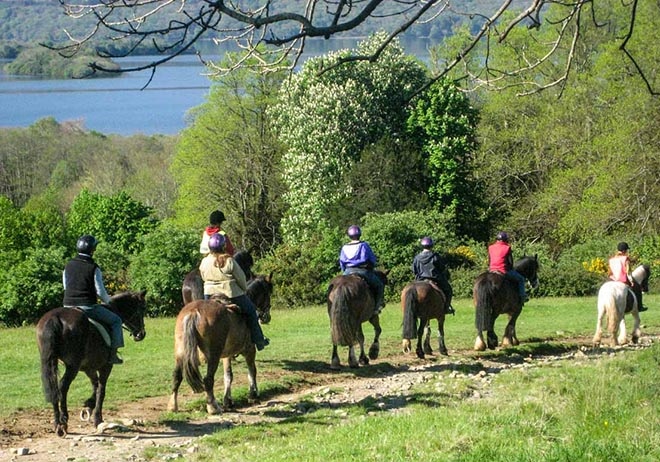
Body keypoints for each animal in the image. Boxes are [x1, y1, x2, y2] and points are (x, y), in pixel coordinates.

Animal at [36, 292, 147, 436]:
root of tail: (55, 318)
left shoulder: (89, 368)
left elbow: (95, 385)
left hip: (51, 362)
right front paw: (97, 418)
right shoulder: (106, 366)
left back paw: (57, 423)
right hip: (73, 366)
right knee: (63, 387)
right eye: (143, 308)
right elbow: (101, 389)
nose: (141, 334)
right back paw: (63, 421)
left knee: (54, 387)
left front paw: (89, 404)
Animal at [170, 272, 276, 414]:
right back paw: (213, 407)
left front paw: (228, 401)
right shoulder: (250, 349)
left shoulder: (227, 355)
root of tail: (194, 313)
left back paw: (172, 406)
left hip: (182, 352)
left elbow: (228, 375)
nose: (266, 317)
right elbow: (252, 370)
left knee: (177, 376)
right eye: (268, 292)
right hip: (213, 355)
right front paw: (253, 395)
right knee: (208, 379)